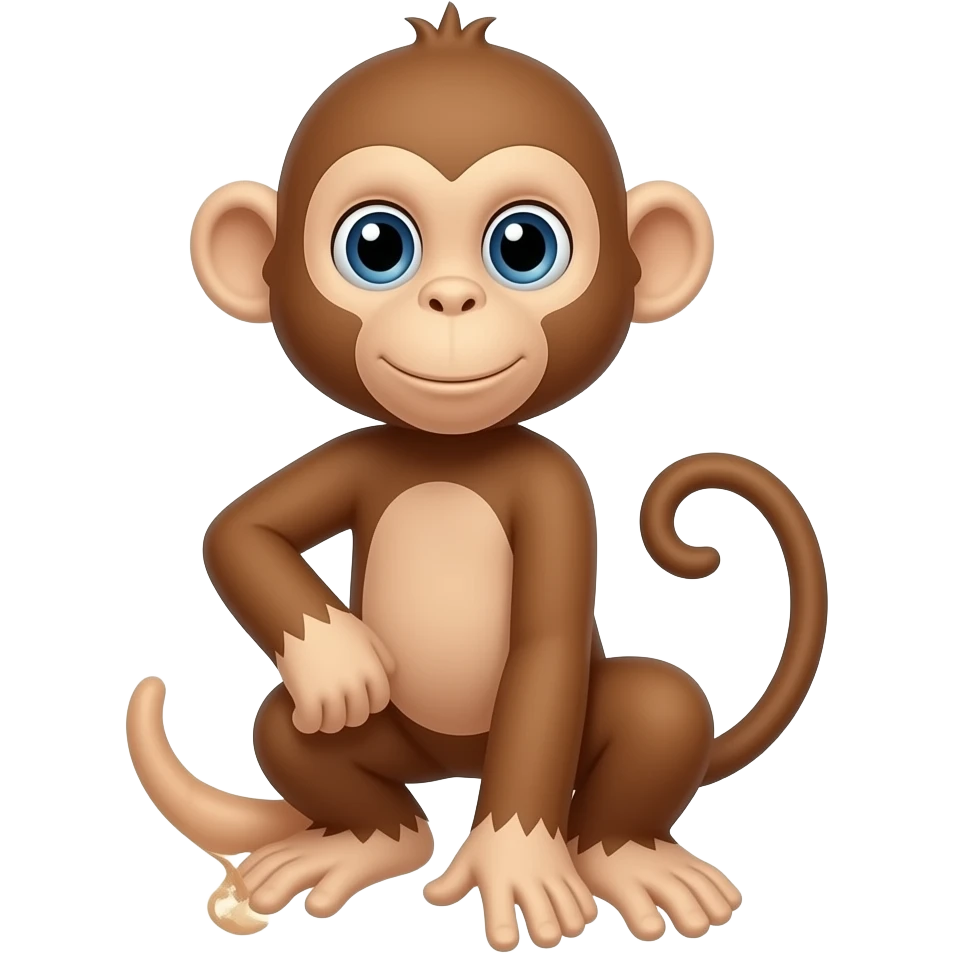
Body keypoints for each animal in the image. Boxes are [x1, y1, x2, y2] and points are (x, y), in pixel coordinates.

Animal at [126, 5, 828, 950]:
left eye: (523, 246)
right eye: (376, 245)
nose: (452, 299)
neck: (450, 454)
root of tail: (458, 762)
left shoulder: (557, 490)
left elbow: (547, 651)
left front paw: (518, 861)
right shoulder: (365, 452)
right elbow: (240, 531)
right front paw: (338, 659)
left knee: (662, 707)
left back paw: (628, 857)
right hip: (386, 744)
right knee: (294, 734)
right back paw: (359, 840)